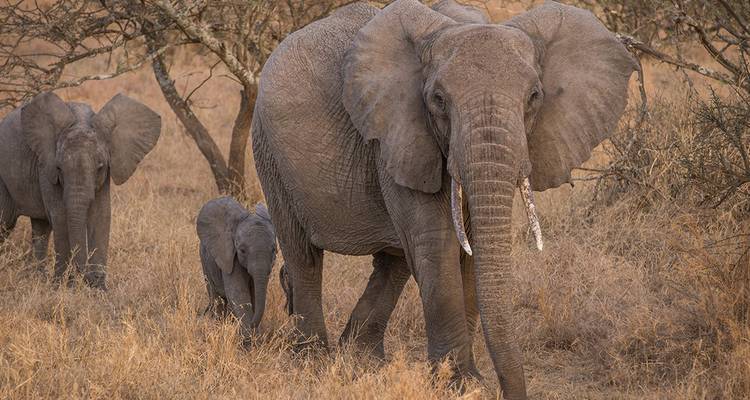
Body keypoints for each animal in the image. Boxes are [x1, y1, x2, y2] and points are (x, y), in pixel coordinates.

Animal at [0, 91, 161, 289]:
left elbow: (100, 216)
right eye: (60, 168)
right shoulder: (46, 167)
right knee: (5, 221)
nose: (88, 278)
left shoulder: (105, 174)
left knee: (40, 227)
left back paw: (37, 278)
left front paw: (99, 289)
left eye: (100, 167)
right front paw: (62, 286)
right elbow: (61, 217)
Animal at [197, 197, 277, 338]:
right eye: (242, 250)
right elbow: (239, 293)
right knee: (216, 297)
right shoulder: (230, 257)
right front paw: (248, 338)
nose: (253, 324)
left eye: (273, 250)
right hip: (204, 261)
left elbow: (254, 294)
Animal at [251, 0, 636, 398]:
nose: (507, 391)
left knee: (394, 262)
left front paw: (470, 382)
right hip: (269, 152)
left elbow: (470, 249)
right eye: (438, 100)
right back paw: (312, 362)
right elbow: (438, 245)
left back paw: (360, 361)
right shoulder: (398, 134)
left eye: (534, 97)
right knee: (305, 255)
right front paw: (457, 384)